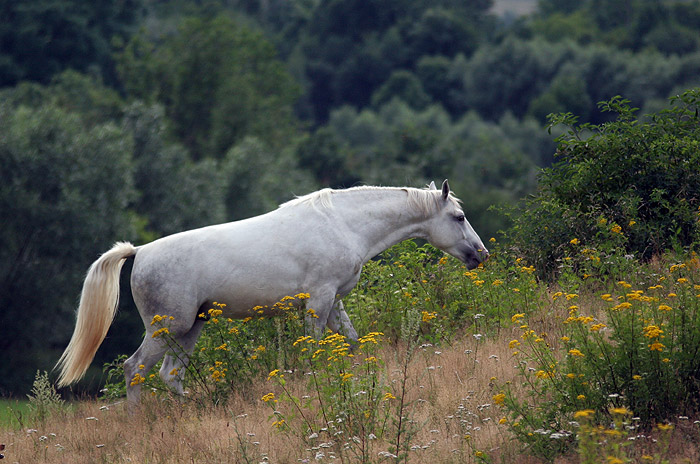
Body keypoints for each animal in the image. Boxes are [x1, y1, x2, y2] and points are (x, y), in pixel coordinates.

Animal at [56, 179, 486, 404]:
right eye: (458, 217)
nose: (480, 254)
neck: (344, 224)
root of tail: (140, 252)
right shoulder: (319, 300)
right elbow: (315, 351)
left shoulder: (335, 301)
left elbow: (352, 341)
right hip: (168, 329)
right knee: (135, 371)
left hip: (190, 328)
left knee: (168, 375)